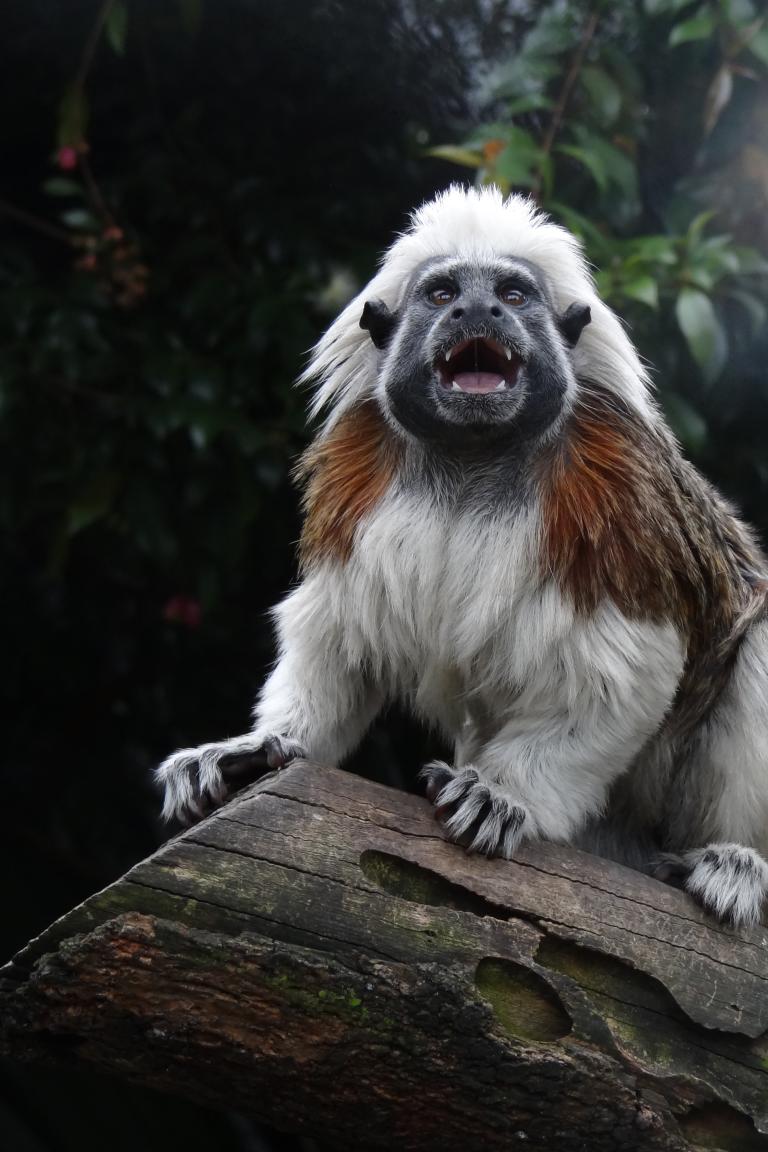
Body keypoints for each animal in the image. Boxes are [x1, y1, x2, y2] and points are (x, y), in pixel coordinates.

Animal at [154, 186, 768, 926]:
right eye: (443, 294)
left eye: (513, 294)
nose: (478, 311)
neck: (474, 460)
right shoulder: (359, 482)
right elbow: (339, 633)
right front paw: (263, 746)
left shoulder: (617, 490)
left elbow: (622, 673)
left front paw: (502, 795)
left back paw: (737, 861)